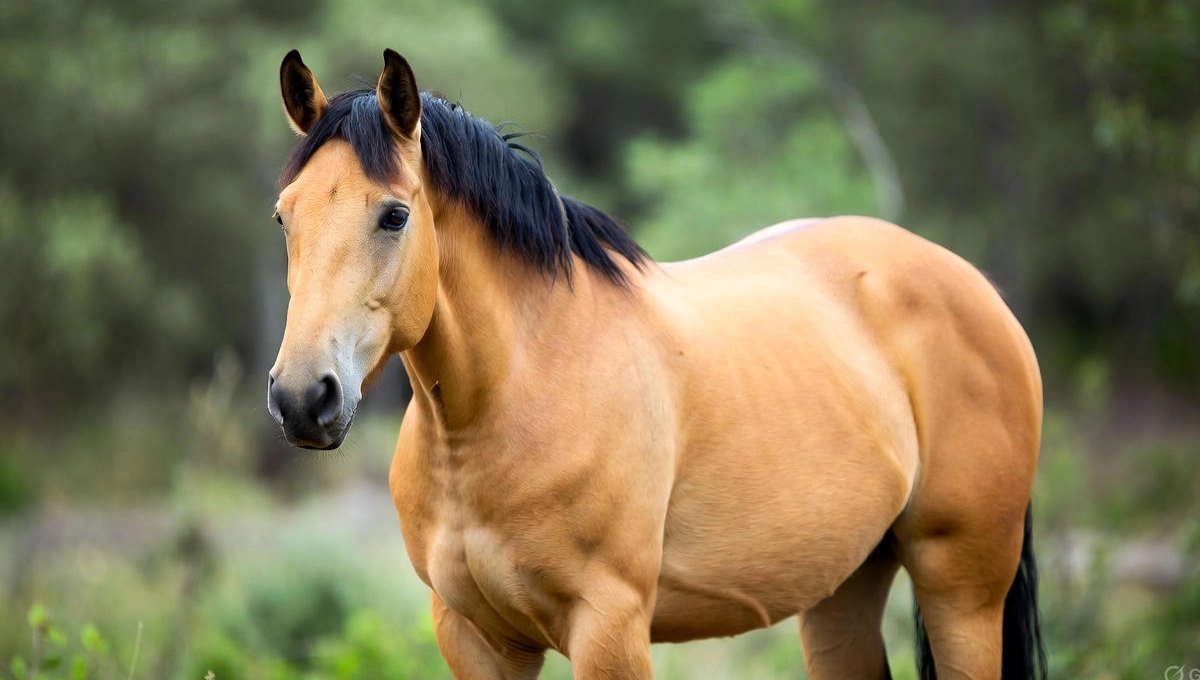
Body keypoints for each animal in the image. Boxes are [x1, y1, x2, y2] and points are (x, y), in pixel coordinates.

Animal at [266, 49, 1047, 680]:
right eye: (284, 217)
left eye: (394, 215)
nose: (304, 397)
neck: (514, 396)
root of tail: (974, 287)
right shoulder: (476, 638)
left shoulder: (609, 629)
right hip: (842, 586)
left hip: (961, 590)